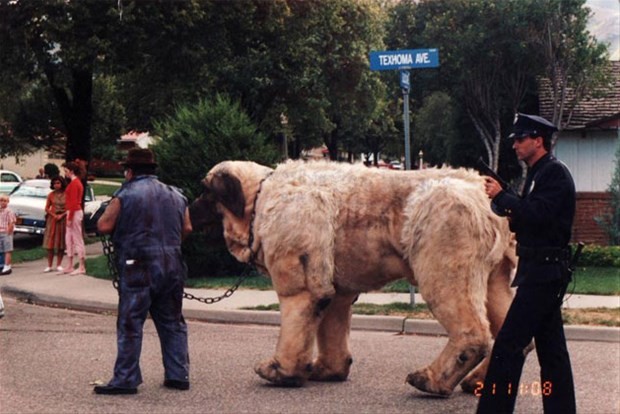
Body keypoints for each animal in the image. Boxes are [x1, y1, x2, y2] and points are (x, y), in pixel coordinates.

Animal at [191, 158, 516, 394]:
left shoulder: (300, 275)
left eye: (206, 190)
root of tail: (485, 194)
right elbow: (332, 322)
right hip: (494, 275)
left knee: (471, 331)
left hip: (445, 260)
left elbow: (297, 316)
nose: (189, 207)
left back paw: (431, 380)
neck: (260, 199)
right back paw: (478, 381)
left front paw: (280, 370)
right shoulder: (334, 286)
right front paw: (328, 370)